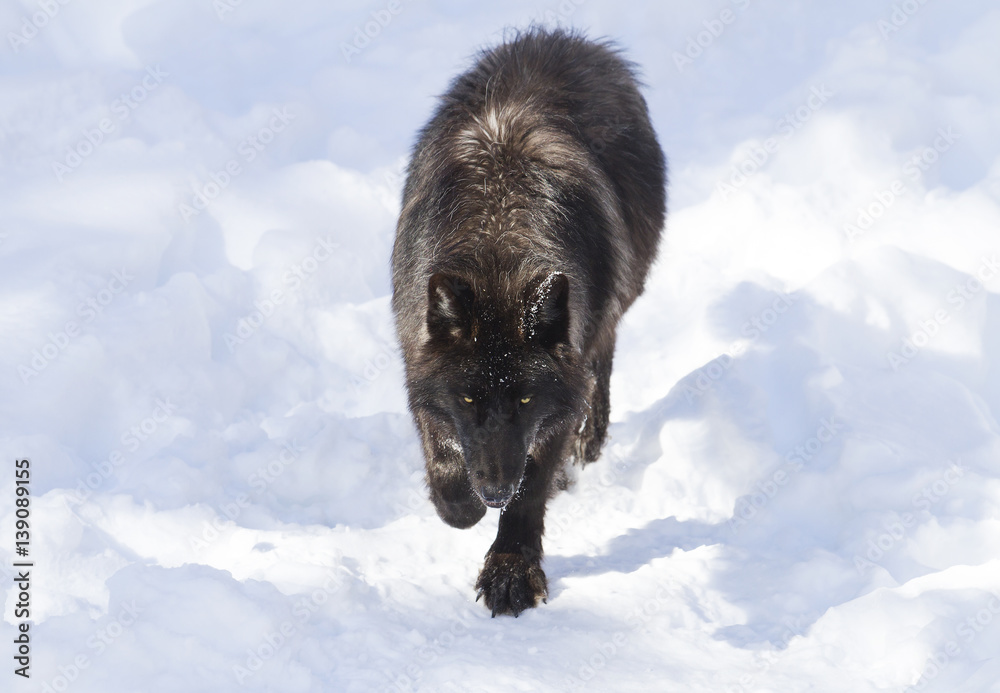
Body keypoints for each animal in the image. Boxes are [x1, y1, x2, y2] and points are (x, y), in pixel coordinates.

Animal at [391, 28, 666, 616]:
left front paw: (511, 573)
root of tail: (565, 37)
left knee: (601, 366)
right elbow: (442, 455)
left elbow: (532, 487)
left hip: (609, 309)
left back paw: (585, 449)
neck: (499, 245)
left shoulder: (558, 390)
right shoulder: (414, 349)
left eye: (522, 398)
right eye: (469, 398)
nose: (493, 491)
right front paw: (462, 505)